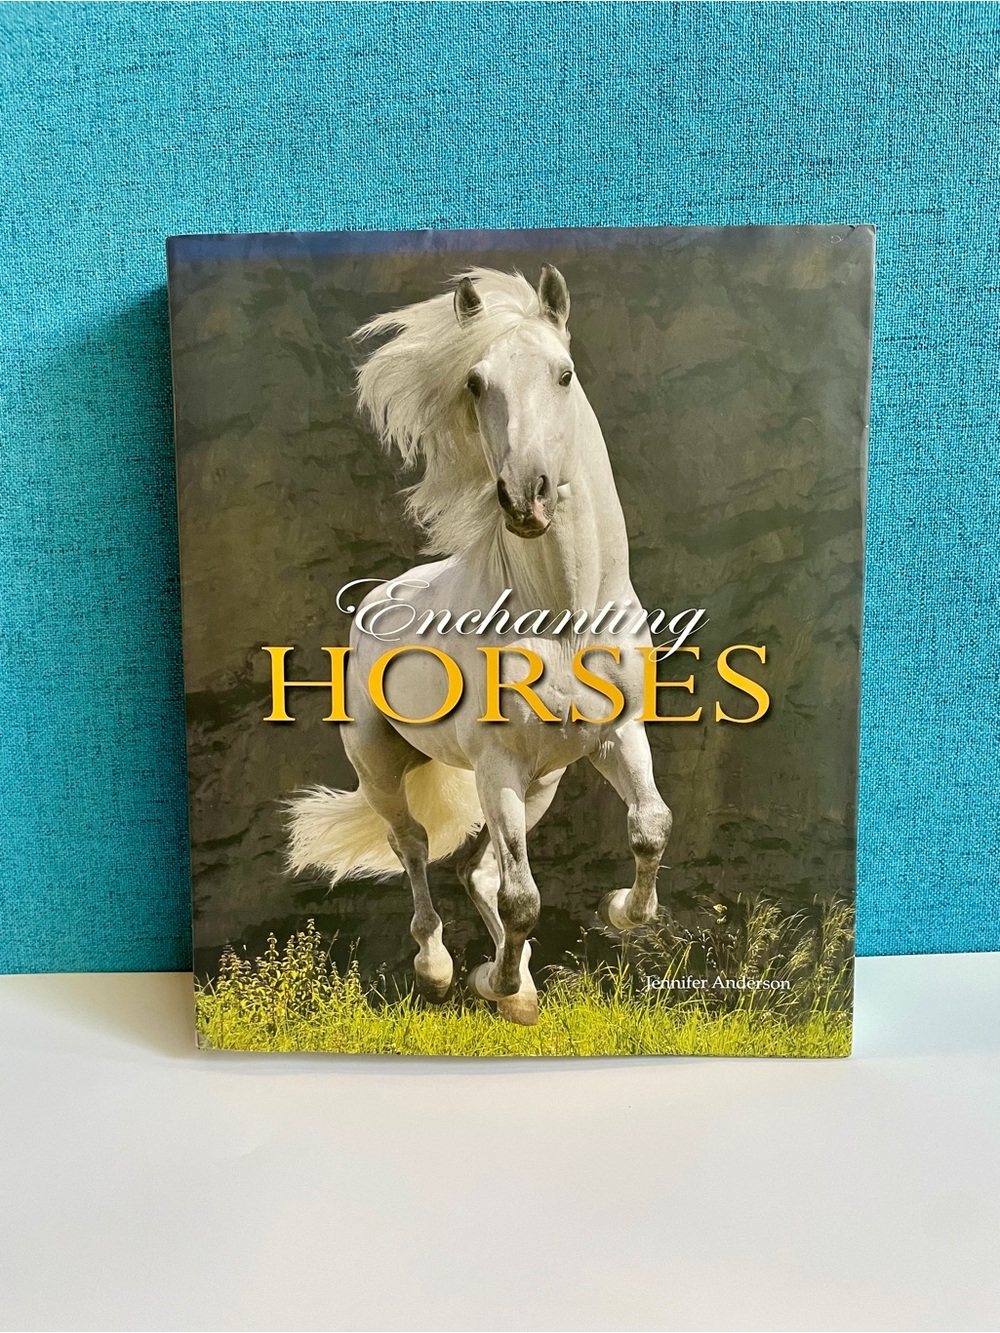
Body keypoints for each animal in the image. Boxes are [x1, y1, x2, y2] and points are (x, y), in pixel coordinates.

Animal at [287, 264, 672, 1025]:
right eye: (475, 382)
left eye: (563, 373)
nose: (527, 498)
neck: (562, 620)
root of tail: (376, 598)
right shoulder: (496, 767)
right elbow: (525, 898)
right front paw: (491, 982)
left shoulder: (617, 735)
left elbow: (650, 825)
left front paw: (619, 913)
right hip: (384, 768)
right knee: (415, 848)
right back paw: (441, 970)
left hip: (543, 782)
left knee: (479, 869)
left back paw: (514, 989)